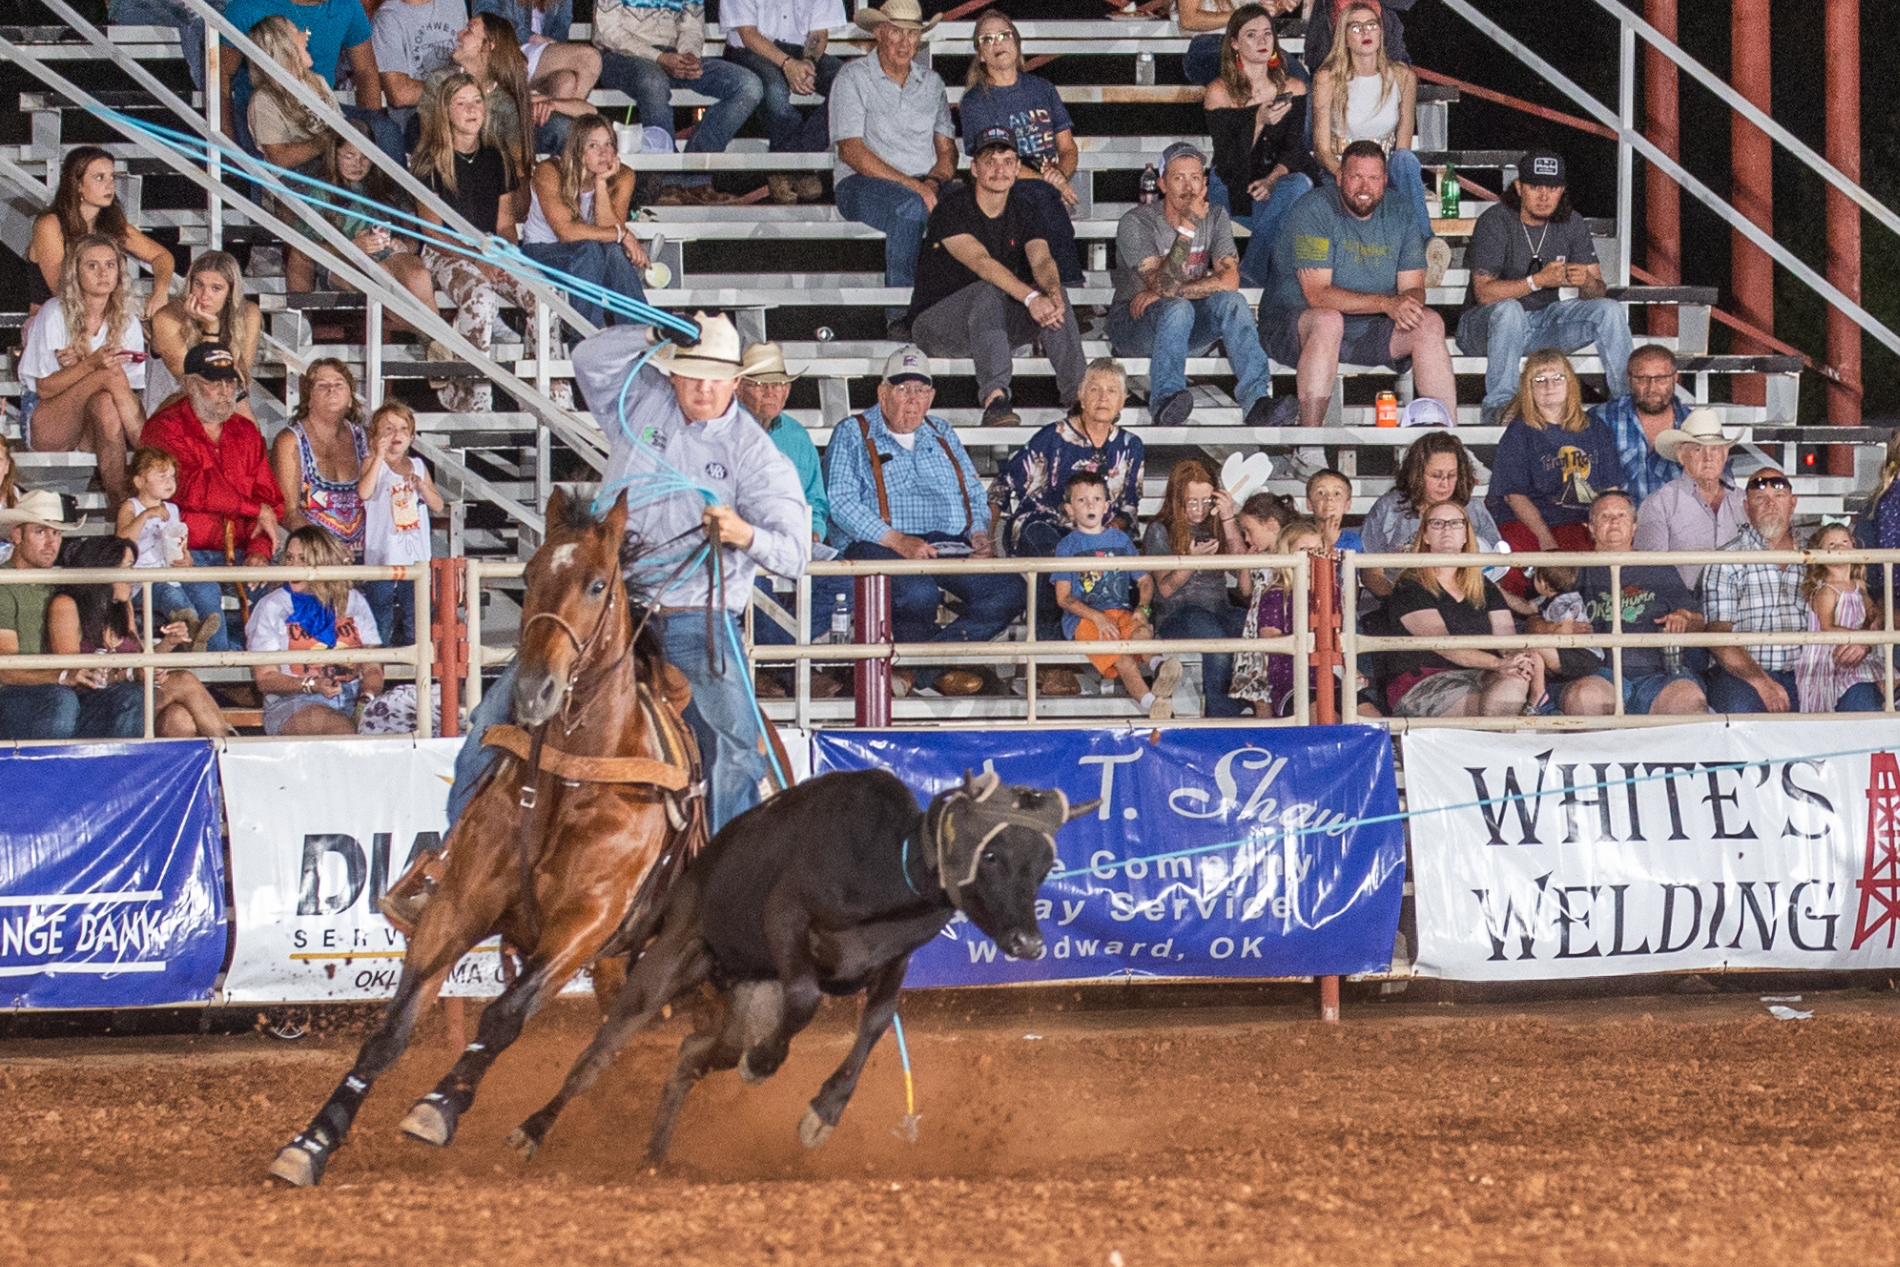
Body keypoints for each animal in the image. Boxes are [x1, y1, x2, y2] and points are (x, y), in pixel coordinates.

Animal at [267, 490, 706, 1192]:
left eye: (598, 583)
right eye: (529, 576)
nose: (533, 690)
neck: (569, 776)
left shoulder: (583, 926)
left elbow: (504, 1015)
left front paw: (439, 1107)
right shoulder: (458, 906)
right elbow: (390, 1032)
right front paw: (313, 1141)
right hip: (620, 964)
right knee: (617, 1035)